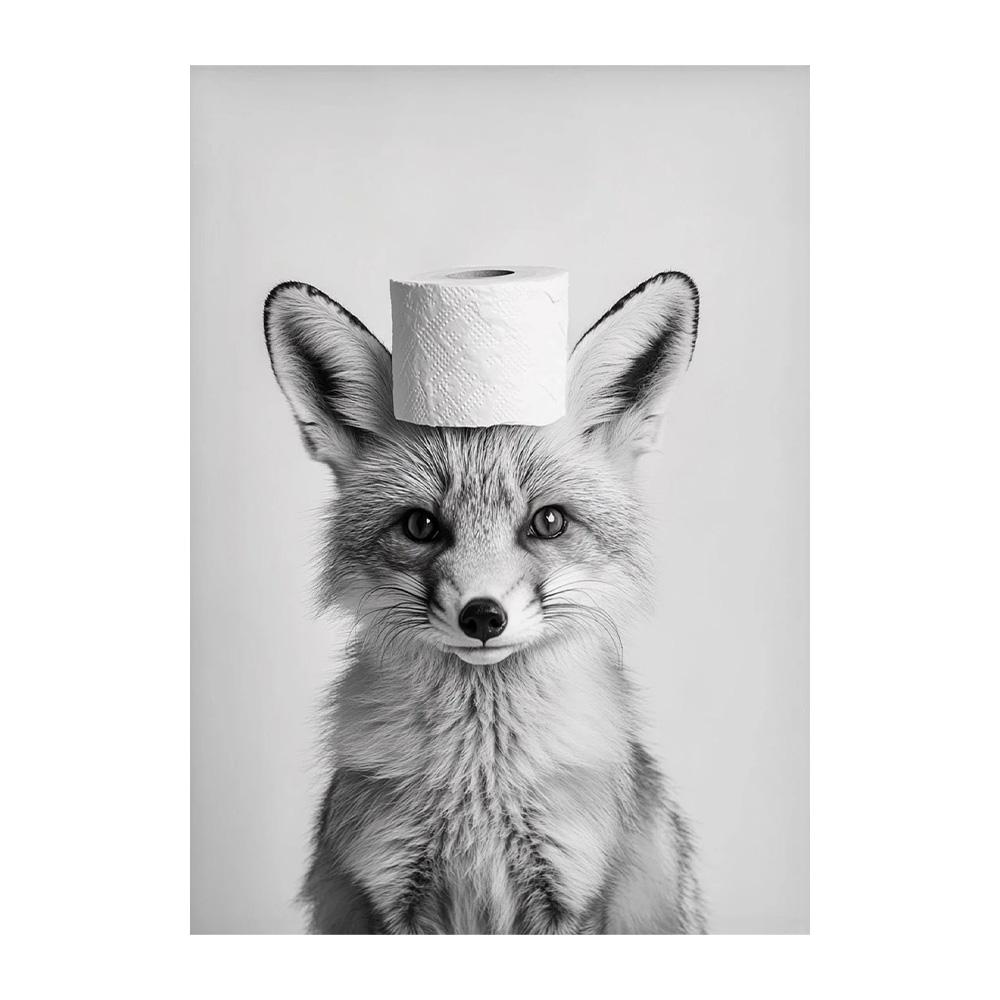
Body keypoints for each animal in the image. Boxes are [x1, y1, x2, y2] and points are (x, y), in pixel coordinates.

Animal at [264, 271, 705, 934]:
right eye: (420, 526)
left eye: (548, 522)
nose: (482, 616)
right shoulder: (387, 891)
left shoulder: (576, 889)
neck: (480, 783)